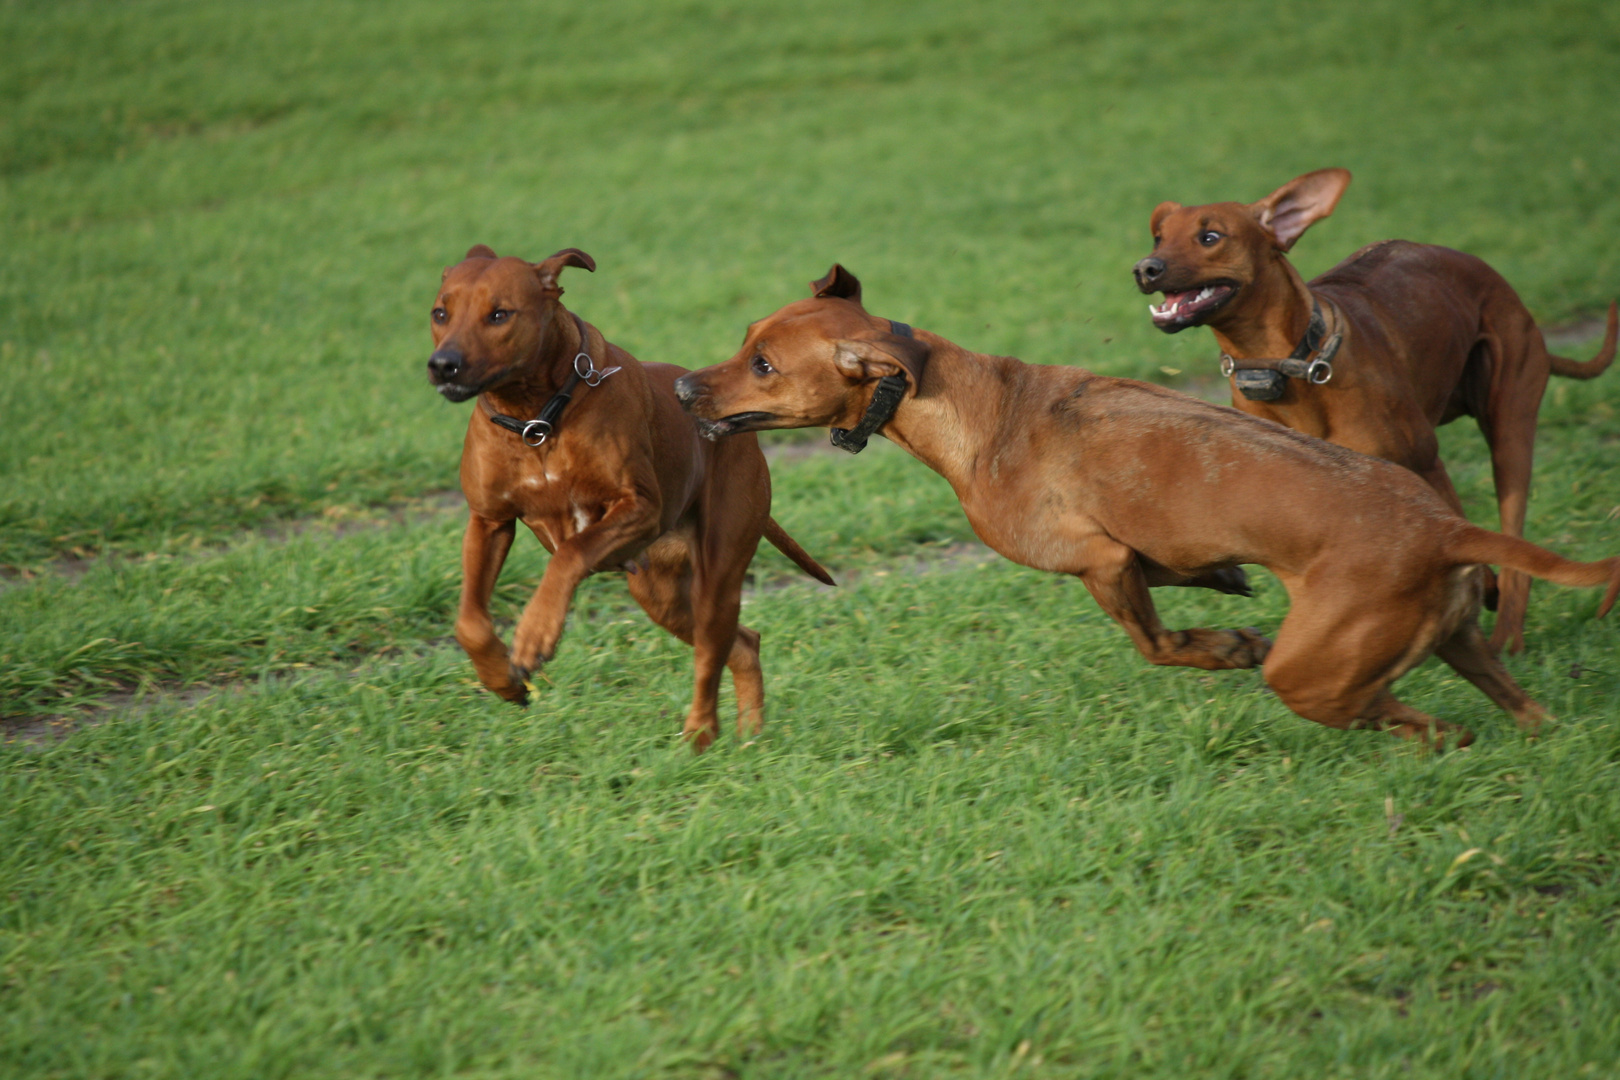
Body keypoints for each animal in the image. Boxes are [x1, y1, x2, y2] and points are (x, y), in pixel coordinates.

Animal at [430, 244, 835, 751]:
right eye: (439, 313)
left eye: (499, 314)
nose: (443, 364)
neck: (535, 419)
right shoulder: (488, 521)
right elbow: (469, 622)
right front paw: (502, 678)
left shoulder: (639, 509)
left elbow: (569, 553)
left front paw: (534, 634)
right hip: (658, 593)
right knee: (743, 643)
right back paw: (748, 739)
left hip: (718, 569)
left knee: (712, 654)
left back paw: (701, 734)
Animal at [670, 265, 1620, 748]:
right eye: (745, 340)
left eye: (763, 365)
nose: (680, 388)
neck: (968, 403)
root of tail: (1443, 525)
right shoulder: (1138, 557)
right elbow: (1190, 577)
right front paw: (1226, 590)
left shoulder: (1101, 563)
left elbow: (1159, 643)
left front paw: (1225, 644)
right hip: (1460, 642)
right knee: (1514, 709)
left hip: (1316, 673)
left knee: (1408, 716)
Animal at [1134, 169, 1613, 654]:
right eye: (1158, 237)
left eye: (1210, 236)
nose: (1145, 268)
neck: (1289, 364)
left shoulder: (1425, 461)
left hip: (1510, 426)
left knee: (1515, 541)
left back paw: (1507, 636)